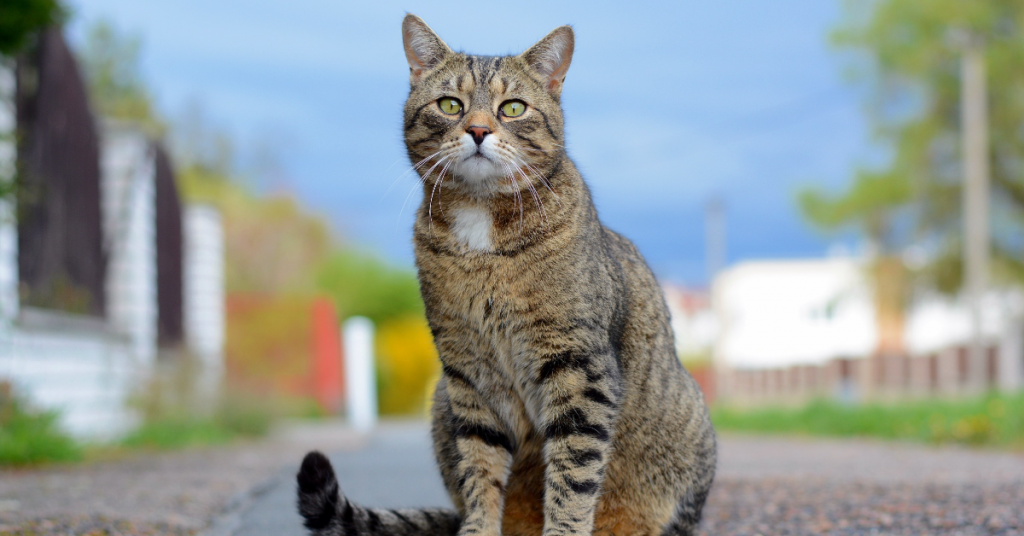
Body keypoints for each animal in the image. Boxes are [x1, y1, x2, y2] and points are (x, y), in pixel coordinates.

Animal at [294, 13, 712, 536]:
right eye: (450, 105)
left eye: (512, 108)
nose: (477, 129)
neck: (481, 228)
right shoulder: (468, 371)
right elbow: (480, 466)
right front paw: (478, 527)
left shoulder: (578, 367)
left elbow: (574, 472)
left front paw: (563, 528)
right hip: (442, 400)